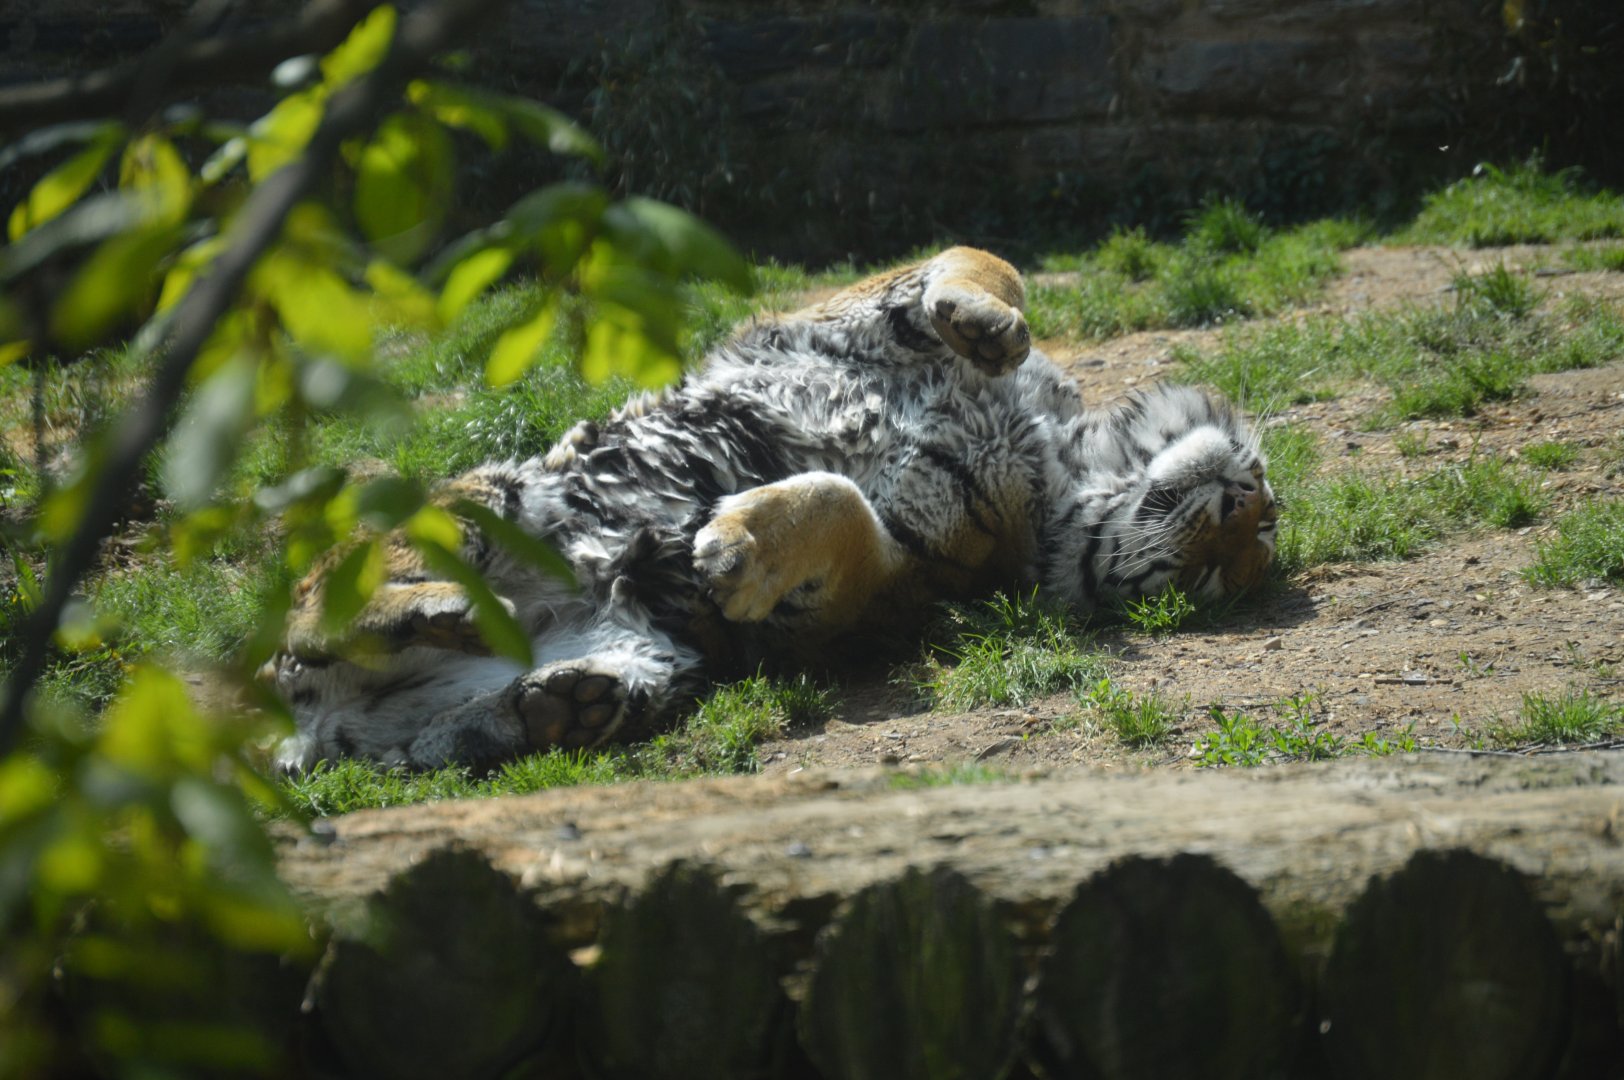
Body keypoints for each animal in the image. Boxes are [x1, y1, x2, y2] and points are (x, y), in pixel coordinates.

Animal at [266, 247, 1277, 773]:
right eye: (1252, 532)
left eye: (1216, 574)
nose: (1245, 501)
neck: (1064, 454)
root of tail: (321, 727)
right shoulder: (845, 312)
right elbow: (979, 264)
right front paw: (986, 325)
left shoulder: (882, 581)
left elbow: (837, 503)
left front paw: (730, 553)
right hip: (492, 496)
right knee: (322, 605)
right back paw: (439, 607)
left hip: (649, 660)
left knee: (436, 719)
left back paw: (553, 702)